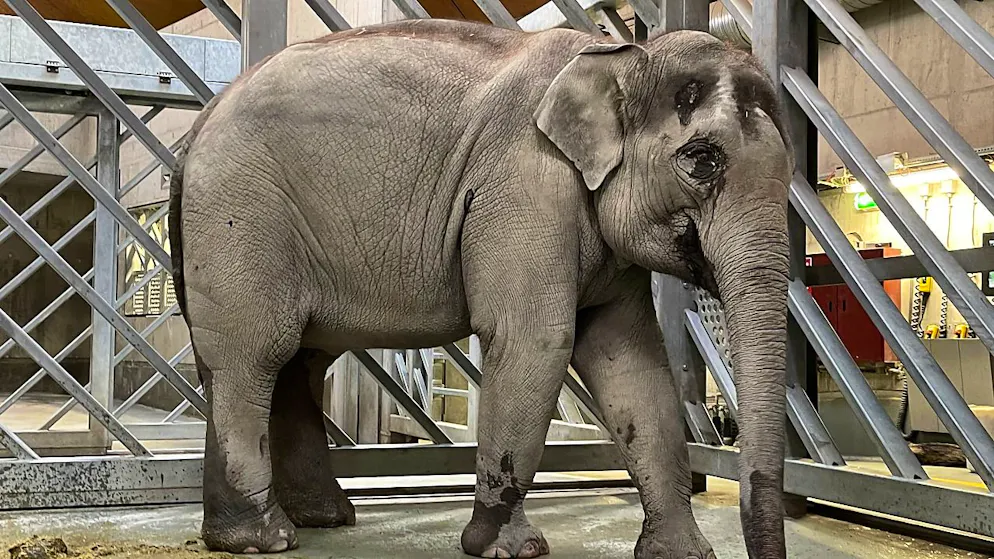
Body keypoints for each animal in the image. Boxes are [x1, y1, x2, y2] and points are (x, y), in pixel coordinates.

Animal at [168, 17, 793, 559]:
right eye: (702, 160)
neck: (622, 57)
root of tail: (201, 121)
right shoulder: (525, 185)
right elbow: (535, 342)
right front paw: (512, 551)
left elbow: (631, 362)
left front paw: (683, 555)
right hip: (241, 216)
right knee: (256, 354)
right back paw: (262, 540)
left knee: (297, 362)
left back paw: (320, 520)